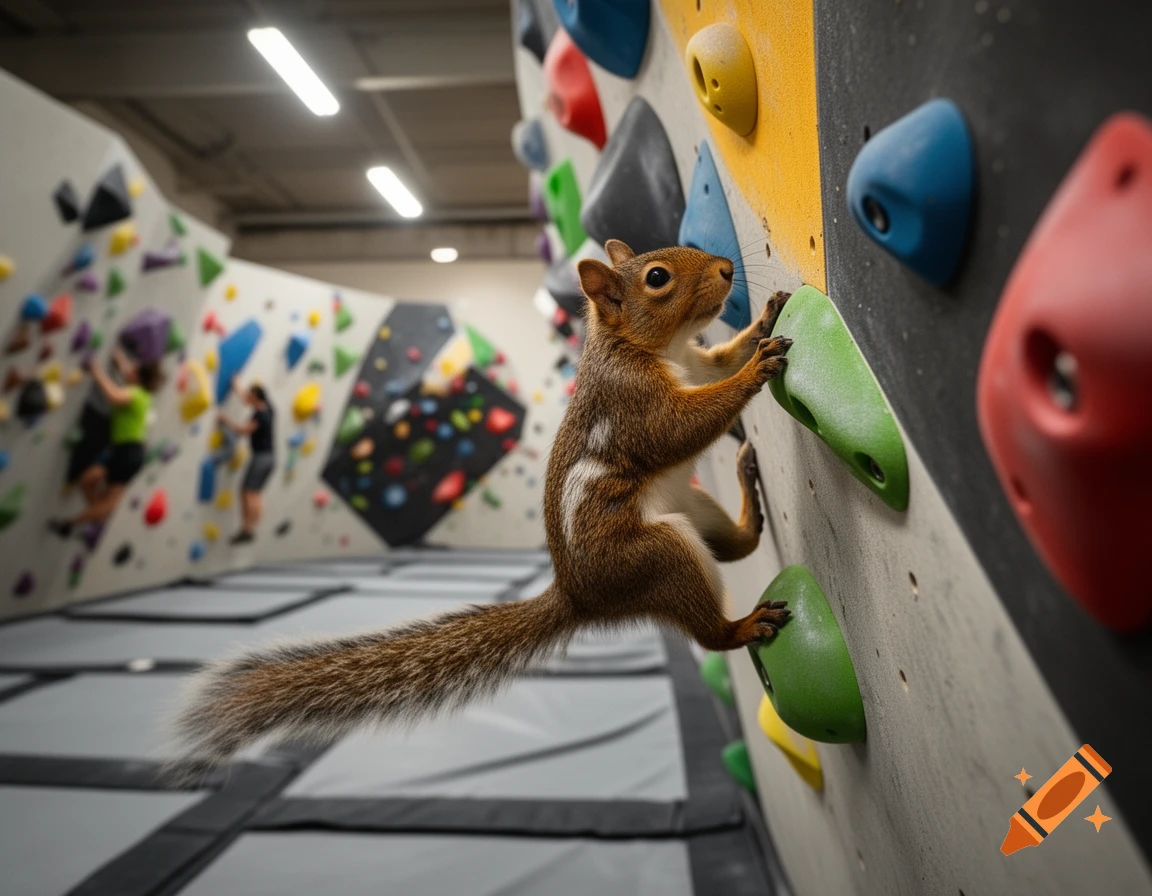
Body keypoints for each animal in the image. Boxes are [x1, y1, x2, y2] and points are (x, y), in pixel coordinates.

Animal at [169, 240, 793, 775]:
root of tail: (582, 597)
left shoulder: (696, 362)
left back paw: (749, 493)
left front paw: (765, 320)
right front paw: (755, 370)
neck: (655, 347)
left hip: (696, 507)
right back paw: (743, 624)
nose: (726, 270)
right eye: (657, 278)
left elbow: (719, 362)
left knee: (738, 544)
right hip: (656, 554)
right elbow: (684, 423)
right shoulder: (632, 403)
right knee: (709, 630)